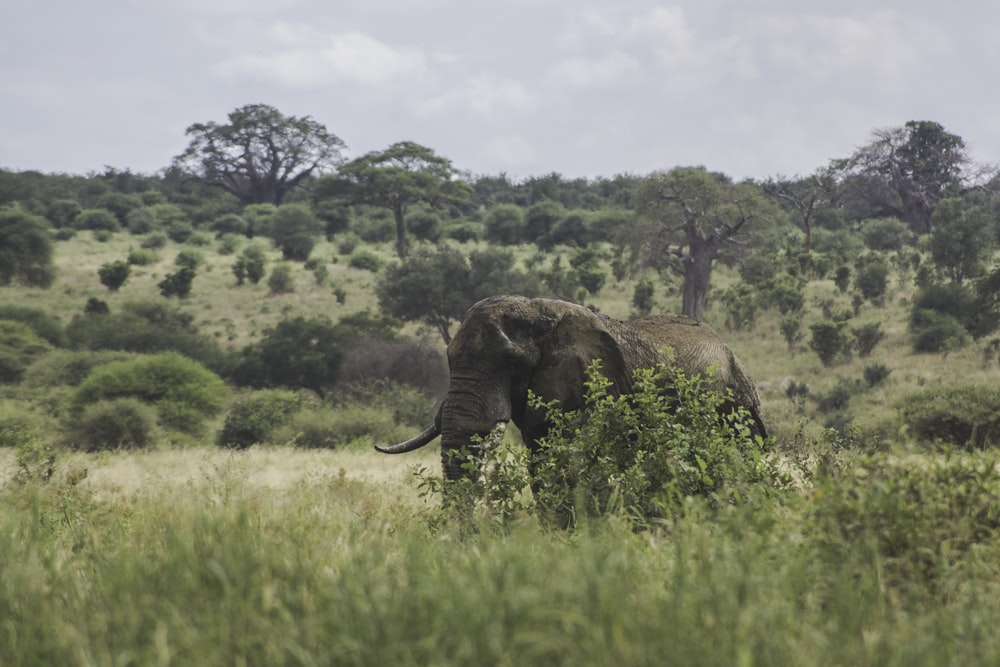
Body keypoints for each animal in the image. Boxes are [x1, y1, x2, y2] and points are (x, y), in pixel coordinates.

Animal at [376, 298, 764, 486]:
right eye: (449, 358)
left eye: (511, 362)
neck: (537, 312)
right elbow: (543, 464)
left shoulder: (590, 385)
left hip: (736, 404)